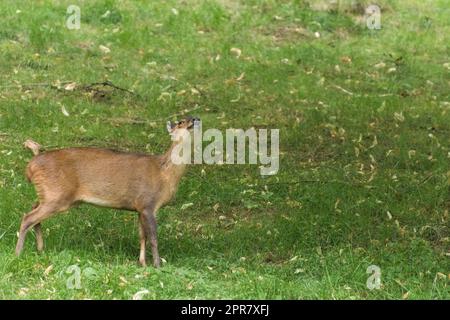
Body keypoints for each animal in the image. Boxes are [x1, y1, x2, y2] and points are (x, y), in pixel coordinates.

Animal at [15, 115, 199, 268]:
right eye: (180, 121)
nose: (195, 119)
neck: (165, 174)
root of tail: (31, 166)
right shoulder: (148, 203)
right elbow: (153, 237)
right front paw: (158, 265)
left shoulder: (139, 207)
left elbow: (142, 236)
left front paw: (143, 263)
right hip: (57, 195)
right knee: (28, 217)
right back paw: (18, 254)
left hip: (48, 193)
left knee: (32, 211)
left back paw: (40, 249)